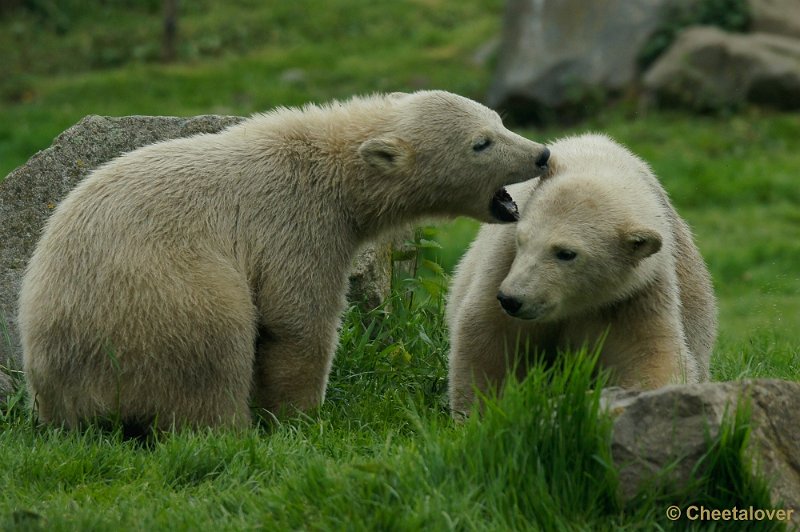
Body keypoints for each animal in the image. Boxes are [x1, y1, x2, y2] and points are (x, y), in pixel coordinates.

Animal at [18, 91, 552, 430]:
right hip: (155, 300)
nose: (542, 153)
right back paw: (231, 429)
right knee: (214, 343)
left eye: (500, 120)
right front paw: (301, 417)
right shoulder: (295, 221)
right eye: (481, 142)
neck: (335, 166)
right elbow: (297, 320)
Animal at [446, 133, 716, 416]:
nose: (511, 299)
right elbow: (490, 337)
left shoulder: (635, 295)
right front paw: (480, 412)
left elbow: (650, 354)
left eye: (566, 253)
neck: (598, 163)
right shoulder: (504, 260)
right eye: (522, 239)